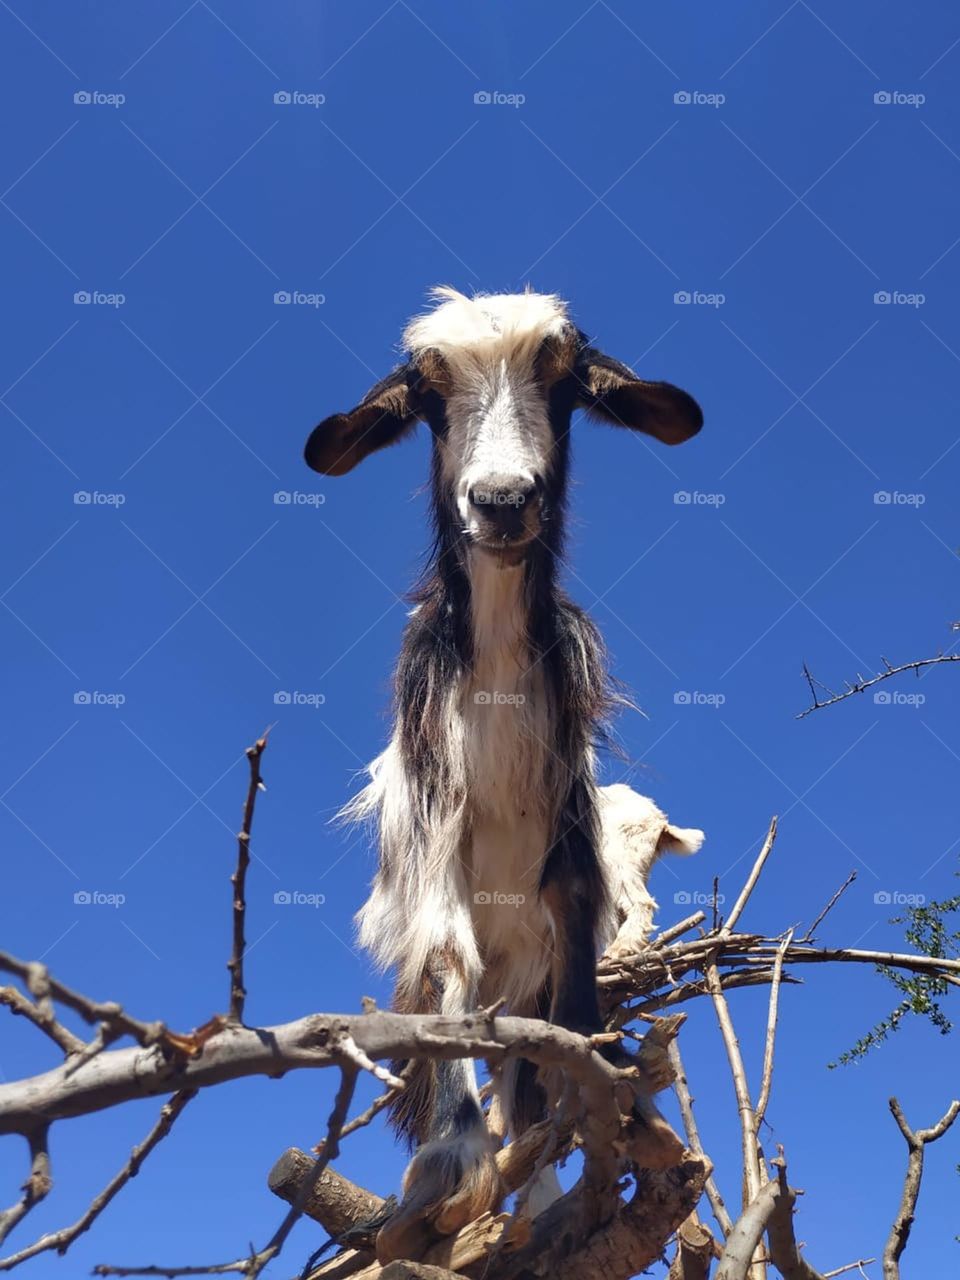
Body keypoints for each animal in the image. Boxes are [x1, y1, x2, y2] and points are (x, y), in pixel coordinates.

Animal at [304, 288, 701, 1259]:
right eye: (426, 393)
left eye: (564, 384)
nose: (502, 501)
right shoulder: (432, 834)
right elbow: (448, 971)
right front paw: (455, 1160)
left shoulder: (571, 852)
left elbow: (566, 1018)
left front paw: (577, 1141)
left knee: (521, 1066)